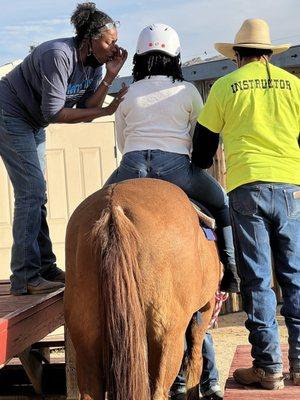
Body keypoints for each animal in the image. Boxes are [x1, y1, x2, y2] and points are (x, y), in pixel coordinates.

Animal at [64, 179, 219, 400]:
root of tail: (113, 208)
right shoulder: (205, 309)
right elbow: (195, 362)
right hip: (165, 339)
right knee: (160, 390)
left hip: (86, 346)